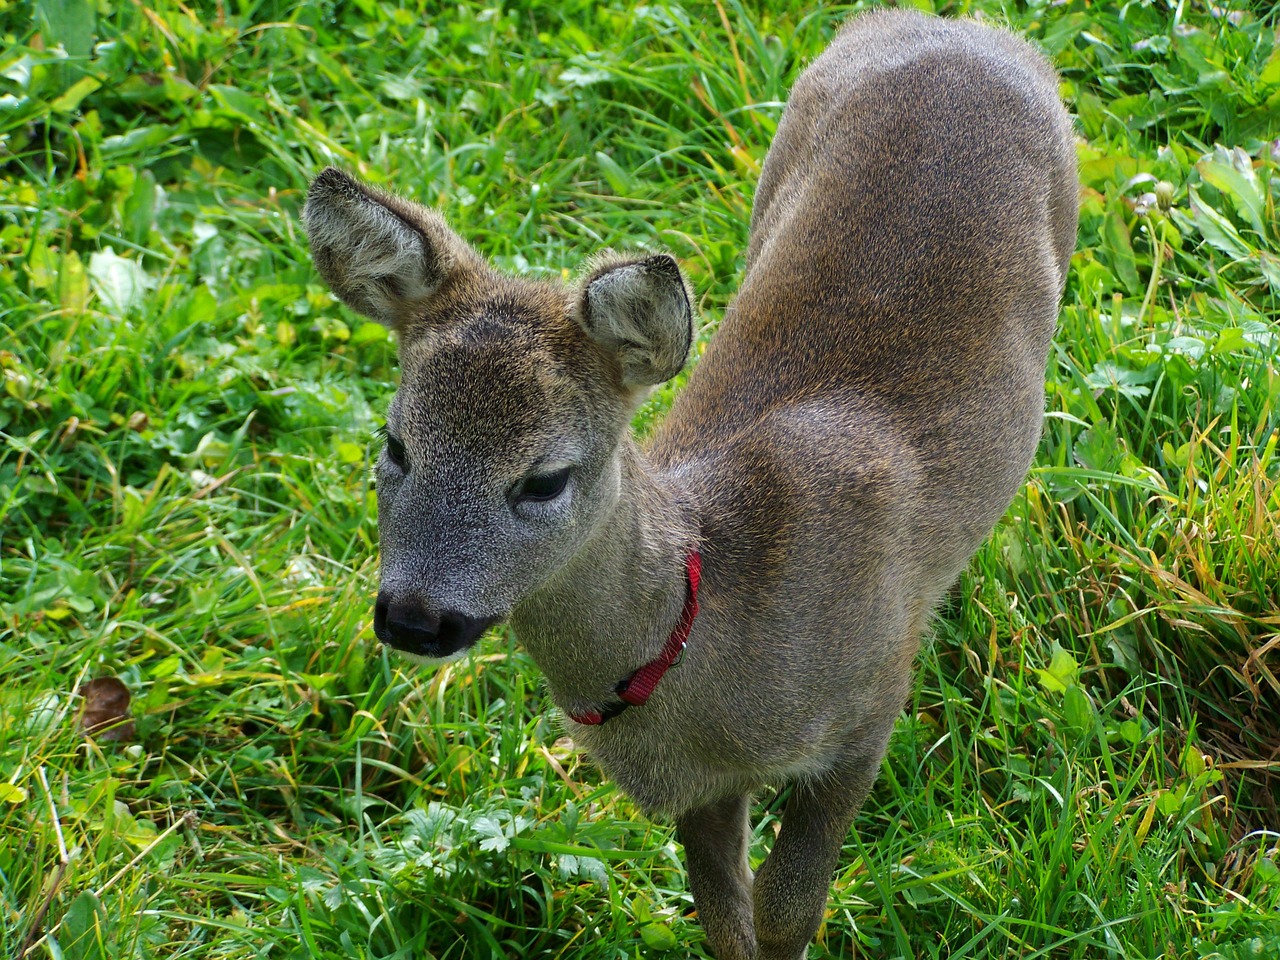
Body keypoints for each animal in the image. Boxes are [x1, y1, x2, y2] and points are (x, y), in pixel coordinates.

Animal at [304, 9, 1075, 960]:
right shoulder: (701, 789)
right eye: (396, 443)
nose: (414, 618)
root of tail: (954, 25)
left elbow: (787, 908)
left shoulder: (870, 701)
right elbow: (727, 920)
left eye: (545, 478)